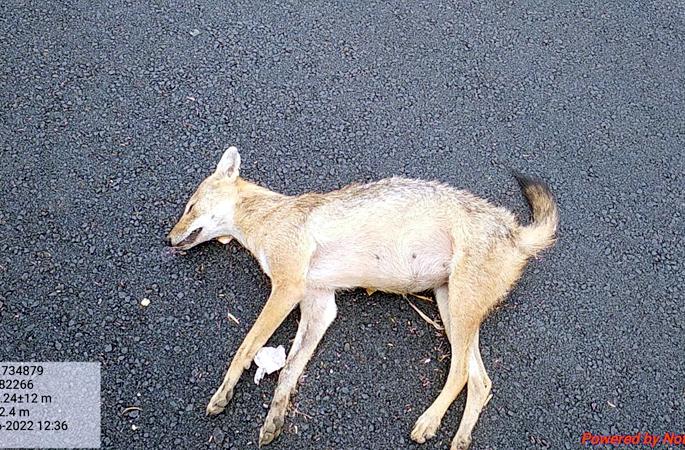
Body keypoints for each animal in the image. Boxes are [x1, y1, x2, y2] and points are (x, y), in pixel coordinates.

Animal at [166, 146, 559, 450]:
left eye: (190, 207)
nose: (168, 240)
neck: (269, 216)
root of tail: (514, 231)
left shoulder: (287, 289)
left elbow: (245, 348)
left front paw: (223, 394)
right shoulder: (320, 305)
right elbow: (289, 370)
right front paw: (274, 419)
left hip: (459, 311)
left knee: (461, 373)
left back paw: (428, 422)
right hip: (452, 311)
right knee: (481, 381)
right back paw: (459, 439)